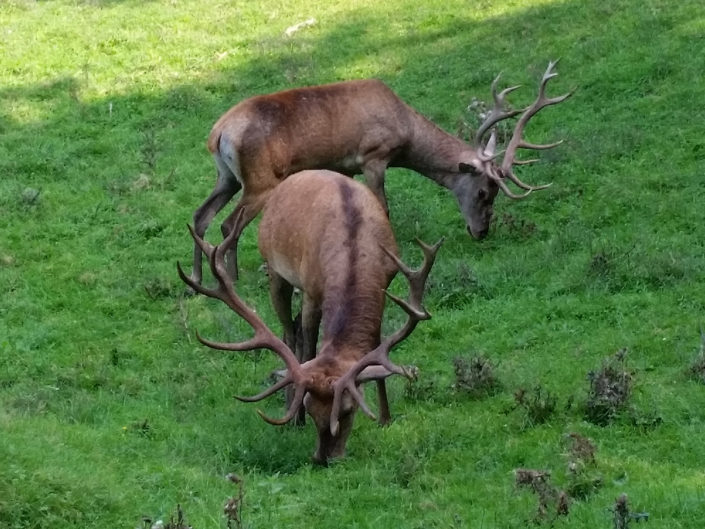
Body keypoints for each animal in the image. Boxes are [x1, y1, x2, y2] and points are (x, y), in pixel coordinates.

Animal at [179, 169, 443, 464]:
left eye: (348, 410)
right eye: (312, 408)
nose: (323, 458)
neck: (355, 252)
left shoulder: (385, 286)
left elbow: (375, 349)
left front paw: (385, 417)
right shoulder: (312, 293)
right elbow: (308, 348)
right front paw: (297, 417)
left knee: (292, 328)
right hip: (276, 269)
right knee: (289, 333)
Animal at [189, 61, 572, 283]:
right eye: (482, 192)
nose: (481, 232)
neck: (405, 132)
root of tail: (218, 133)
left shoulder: (346, 168)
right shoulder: (374, 156)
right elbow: (383, 207)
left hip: (226, 177)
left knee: (200, 216)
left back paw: (198, 278)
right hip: (261, 180)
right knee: (228, 223)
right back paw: (231, 278)